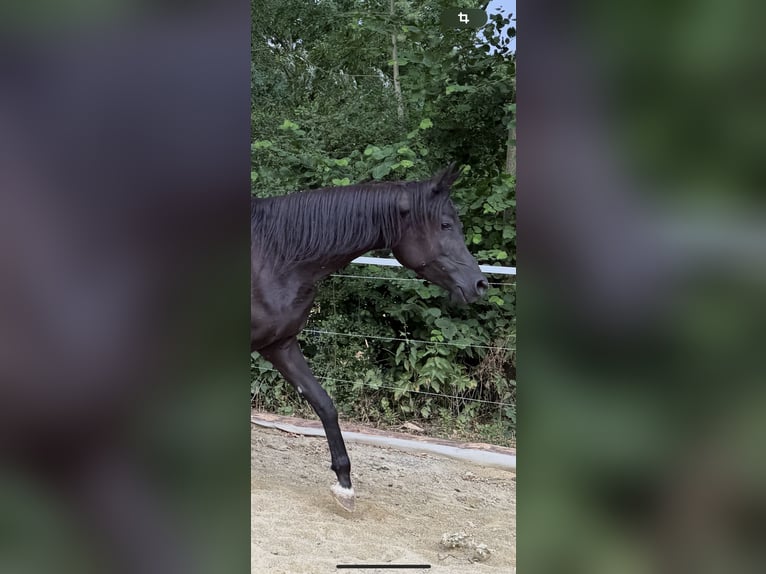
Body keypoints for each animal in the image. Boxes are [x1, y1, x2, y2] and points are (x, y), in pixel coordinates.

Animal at [250, 164, 488, 511]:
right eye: (445, 224)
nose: (480, 284)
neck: (273, 257)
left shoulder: (280, 345)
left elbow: (324, 404)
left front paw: (344, 484)